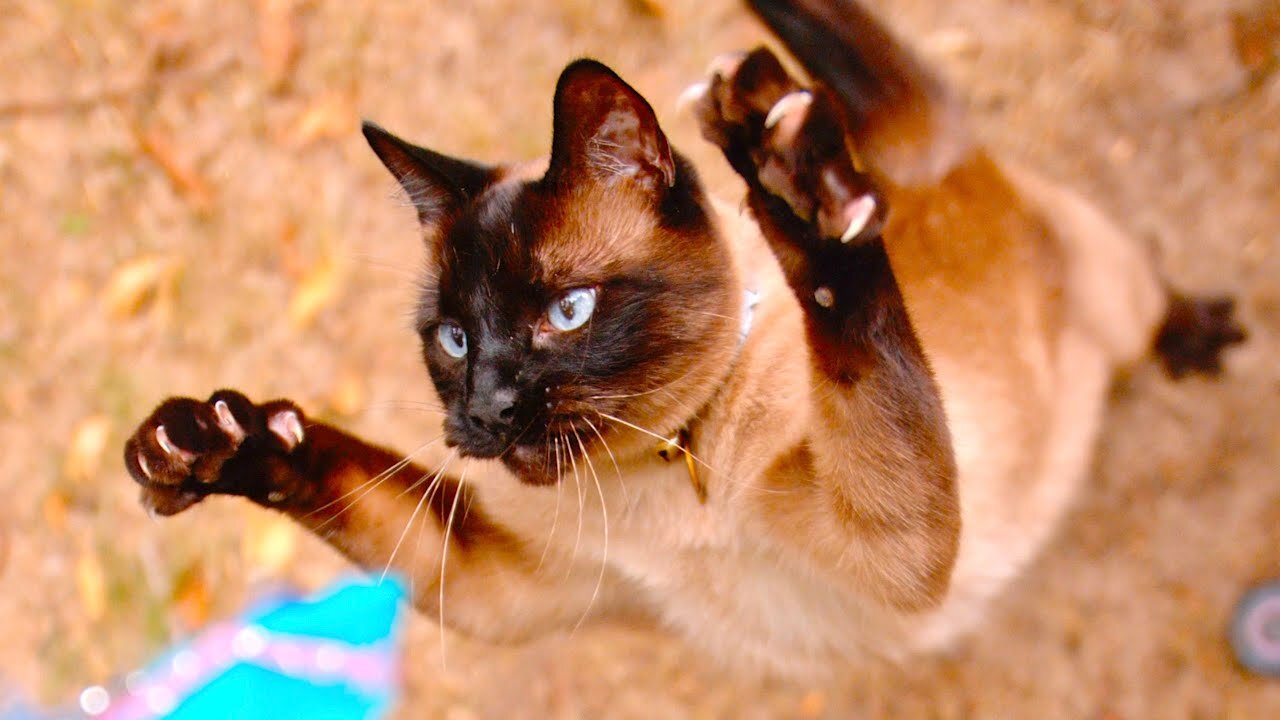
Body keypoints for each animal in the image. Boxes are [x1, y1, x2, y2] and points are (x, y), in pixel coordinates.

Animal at [120, 0, 1239, 671]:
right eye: (453, 340)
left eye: (565, 314)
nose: (486, 409)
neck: (667, 470)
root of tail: (927, 172)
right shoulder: (511, 595)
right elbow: (346, 481)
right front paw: (208, 444)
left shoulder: (898, 550)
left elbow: (849, 316)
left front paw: (796, 193)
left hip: (1108, 286)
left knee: (1142, 307)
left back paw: (1193, 336)